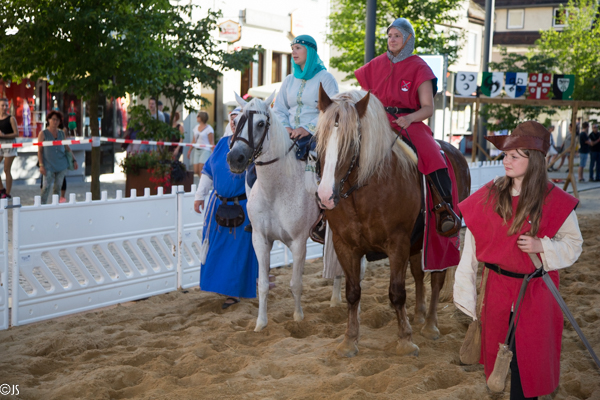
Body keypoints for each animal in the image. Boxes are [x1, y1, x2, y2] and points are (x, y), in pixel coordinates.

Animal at [226, 94, 324, 332]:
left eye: (261, 124)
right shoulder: (260, 240)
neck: (277, 190)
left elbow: (296, 284)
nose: (235, 158)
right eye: (238, 120)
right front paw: (261, 323)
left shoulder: (298, 242)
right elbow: (262, 285)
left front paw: (298, 317)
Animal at [316, 86, 472, 356]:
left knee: (437, 278)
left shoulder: (397, 243)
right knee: (419, 274)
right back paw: (419, 315)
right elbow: (353, 293)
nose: (325, 196)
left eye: (352, 142)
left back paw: (430, 325)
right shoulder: (344, 245)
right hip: (418, 243)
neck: (364, 189)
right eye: (321, 140)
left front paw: (405, 340)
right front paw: (349, 340)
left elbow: (397, 292)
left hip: (440, 240)